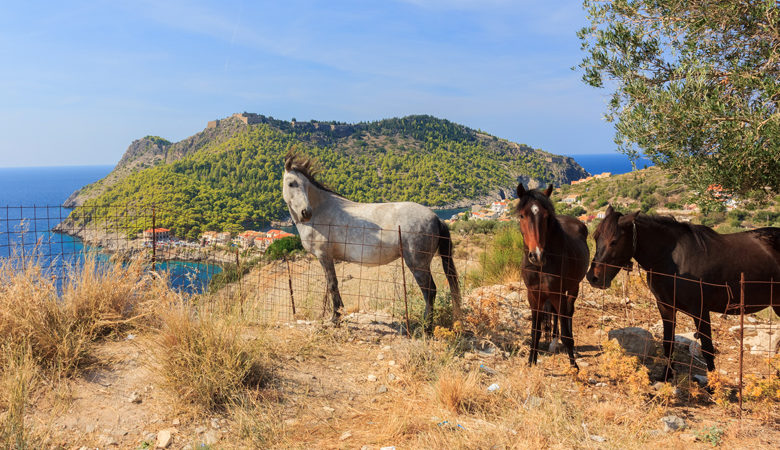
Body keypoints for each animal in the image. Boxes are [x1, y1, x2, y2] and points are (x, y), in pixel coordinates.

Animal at [282, 153, 460, 328]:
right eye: (291, 184)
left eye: (304, 185)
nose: (306, 212)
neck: (321, 212)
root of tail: (436, 217)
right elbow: (331, 285)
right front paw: (338, 315)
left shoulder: (324, 256)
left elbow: (332, 285)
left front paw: (335, 318)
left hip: (418, 265)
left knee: (430, 291)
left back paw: (426, 326)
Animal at [516, 184, 588, 370]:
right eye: (521, 215)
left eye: (546, 216)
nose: (537, 255)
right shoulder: (533, 295)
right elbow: (535, 331)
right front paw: (531, 361)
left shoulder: (558, 293)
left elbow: (566, 332)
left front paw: (574, 367)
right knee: (557, 314)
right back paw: (553, 342)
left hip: (573, 288)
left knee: (568, 313)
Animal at [588, 207, 776, 380]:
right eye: (596, 237)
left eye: (614, 241)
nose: (593, 277)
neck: (673, 260)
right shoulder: (666, 307)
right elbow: (668, 343)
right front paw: (666, 375)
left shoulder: (700, 310)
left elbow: (707, 348)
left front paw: (712, 387)